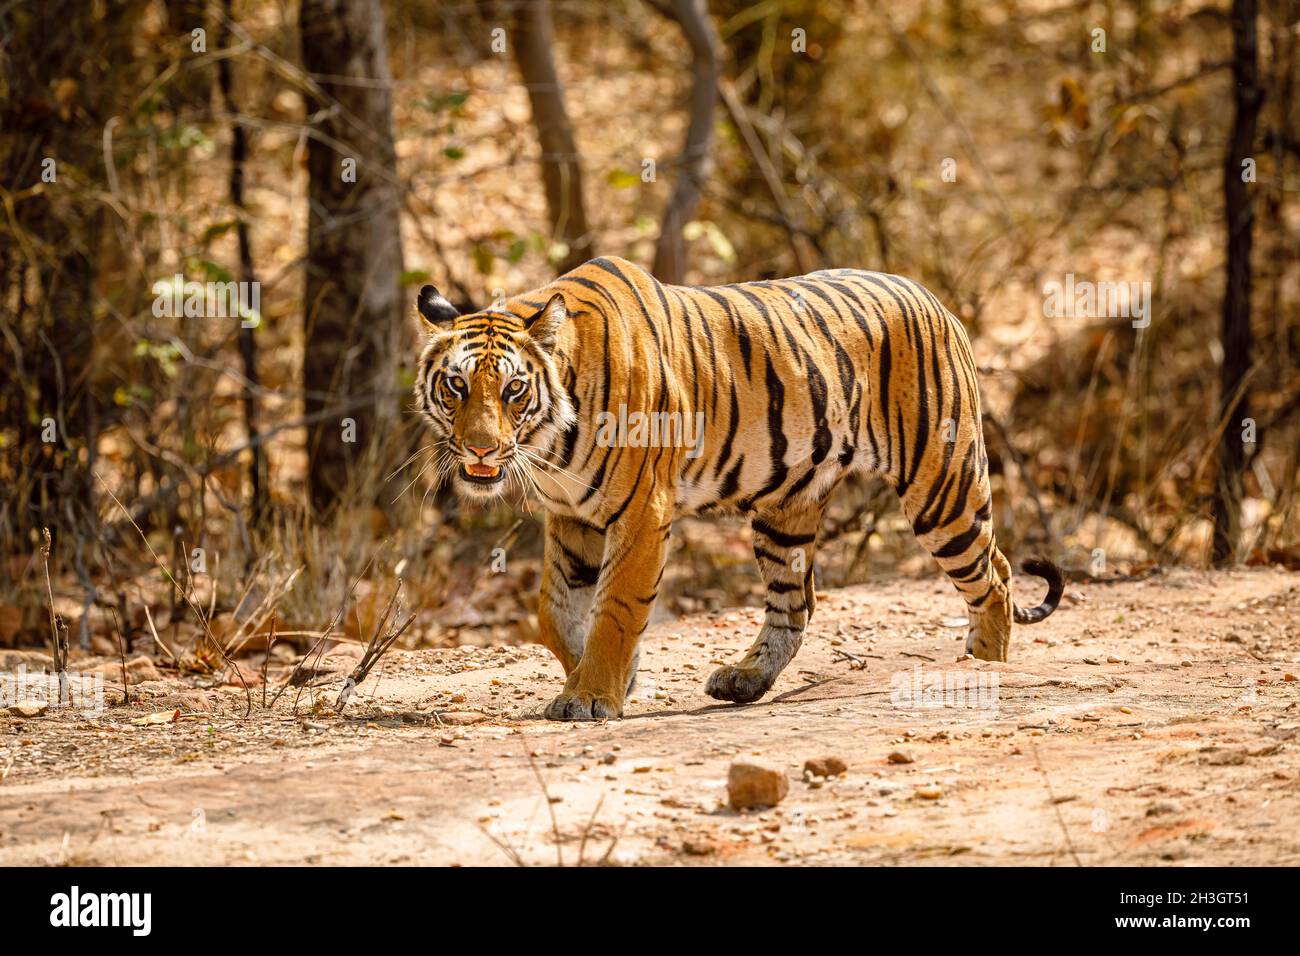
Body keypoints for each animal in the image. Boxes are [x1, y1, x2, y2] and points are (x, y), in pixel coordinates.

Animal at [413, 256, 1063, 720]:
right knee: (796, 604)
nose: (480, 448)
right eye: (456, 385)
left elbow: (616, 607)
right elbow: (553, 610)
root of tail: (933, 298)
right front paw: (614, 677)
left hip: (941, 487)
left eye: (513, 390)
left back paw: (985, 669)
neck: (550, 444)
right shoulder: (572, 516)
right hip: (786, 511)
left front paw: (592, 694)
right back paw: (746, 679)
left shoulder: (640, 512)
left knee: (996, 578)